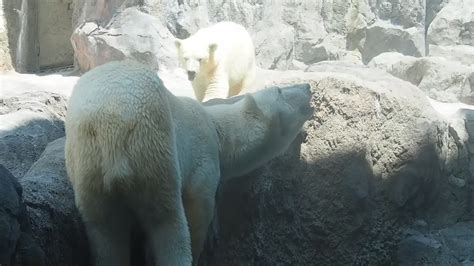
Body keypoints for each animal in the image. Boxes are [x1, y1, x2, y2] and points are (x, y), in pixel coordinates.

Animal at [65, 60, 312, 266]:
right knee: (167, 220)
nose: (308, 87)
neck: (217, 128)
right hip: (153, 147)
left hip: (86, 162)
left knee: (104, 231)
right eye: (280, 91)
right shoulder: (202, 154)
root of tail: (110, 123)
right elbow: (199, 206)